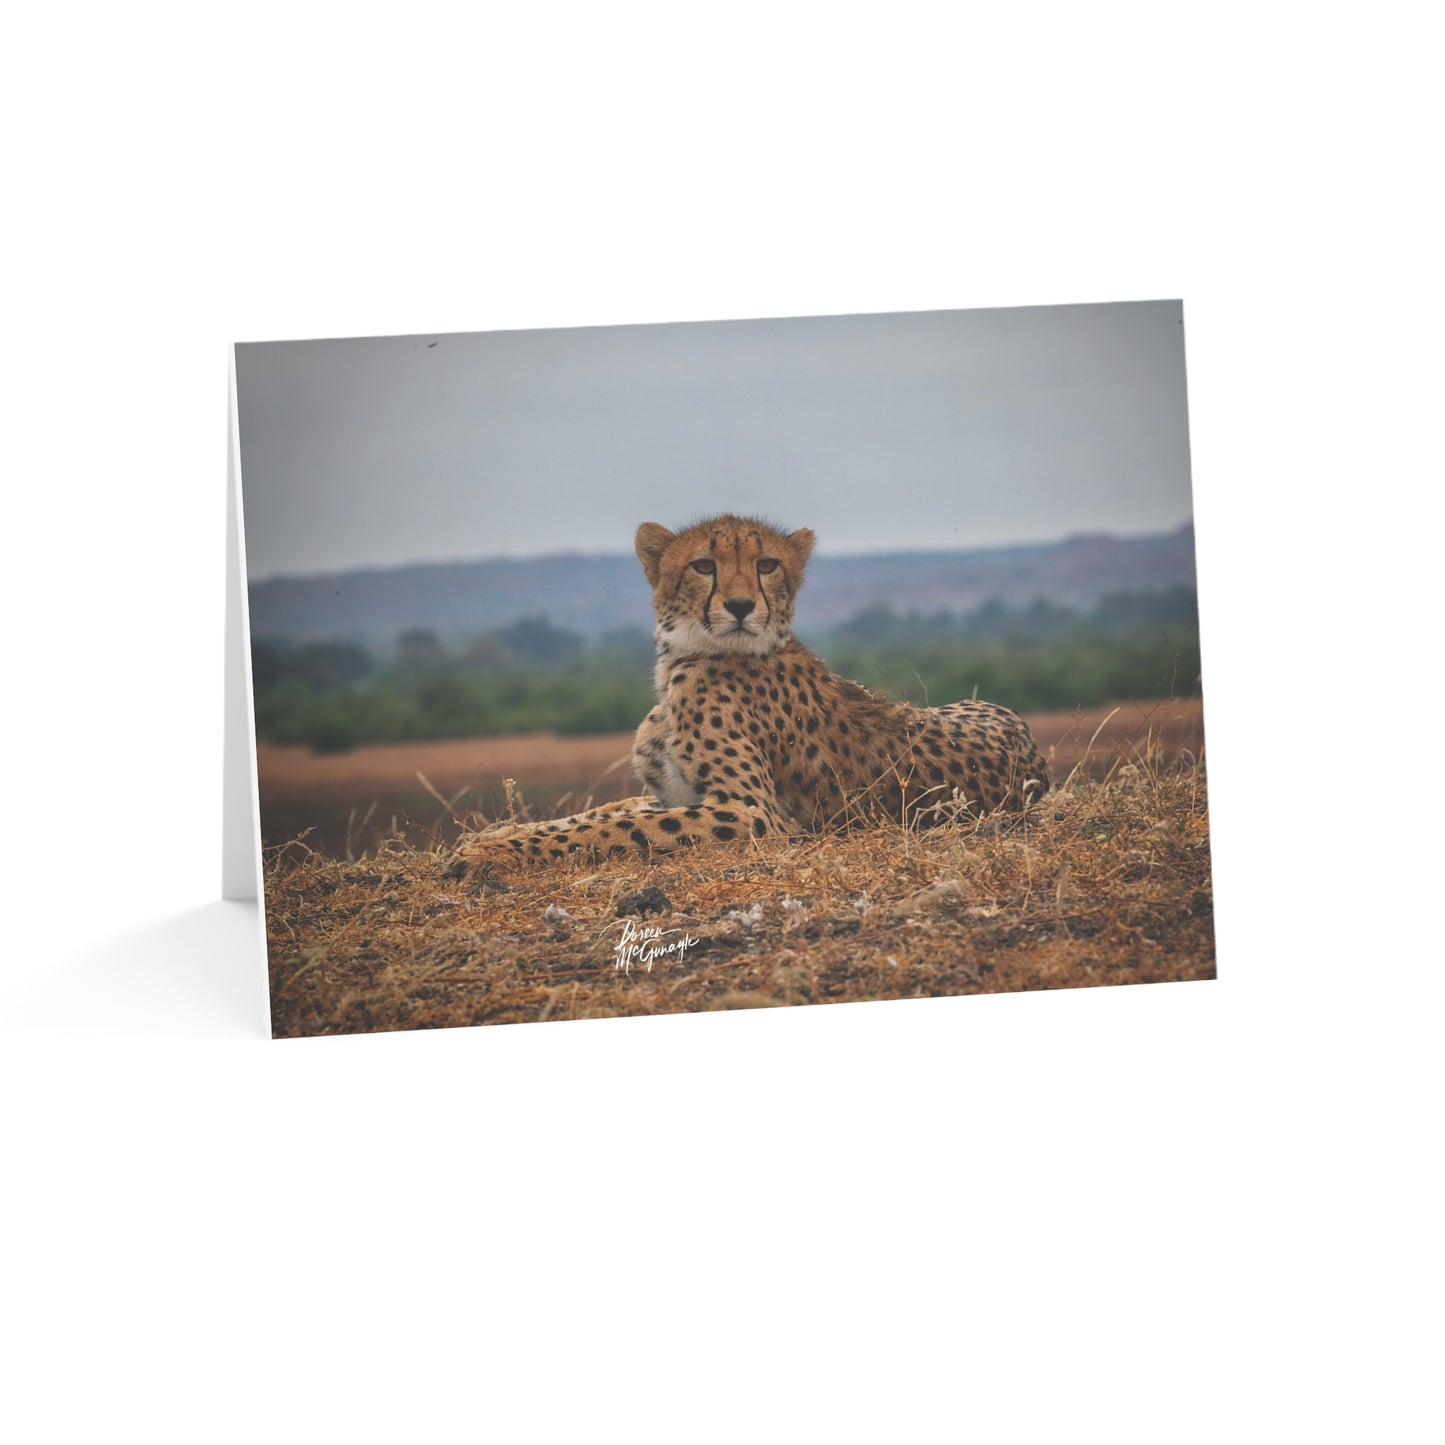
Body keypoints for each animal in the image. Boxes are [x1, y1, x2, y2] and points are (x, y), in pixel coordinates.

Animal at [454, 514, 1049, 877]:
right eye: (703, 565)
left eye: (767, 565)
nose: (740, 606)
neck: (685, 659)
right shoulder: (672, 793)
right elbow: (598, 814)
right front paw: (492, 836)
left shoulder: (751, 813)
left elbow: (616, 828)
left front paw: (492, 851)